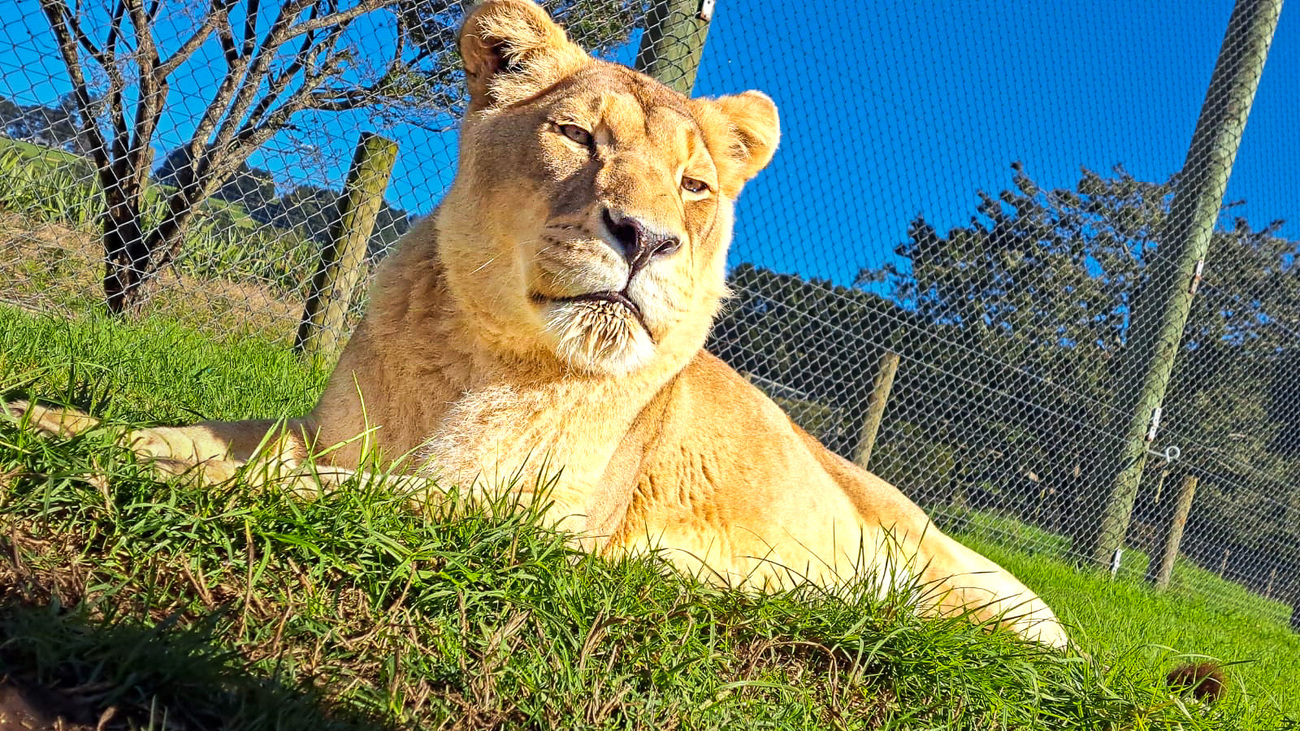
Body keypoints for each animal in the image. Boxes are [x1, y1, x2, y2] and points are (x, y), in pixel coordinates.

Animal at [6, 0, 1067, 648]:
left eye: (694, 187)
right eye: (577, 135)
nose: (646, 237)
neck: (472, 354)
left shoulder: (511, 515)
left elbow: (303, 485)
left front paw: (133, 462)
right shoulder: (329, 430)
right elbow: (216, 437)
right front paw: (55, 422)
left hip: (967, 582)